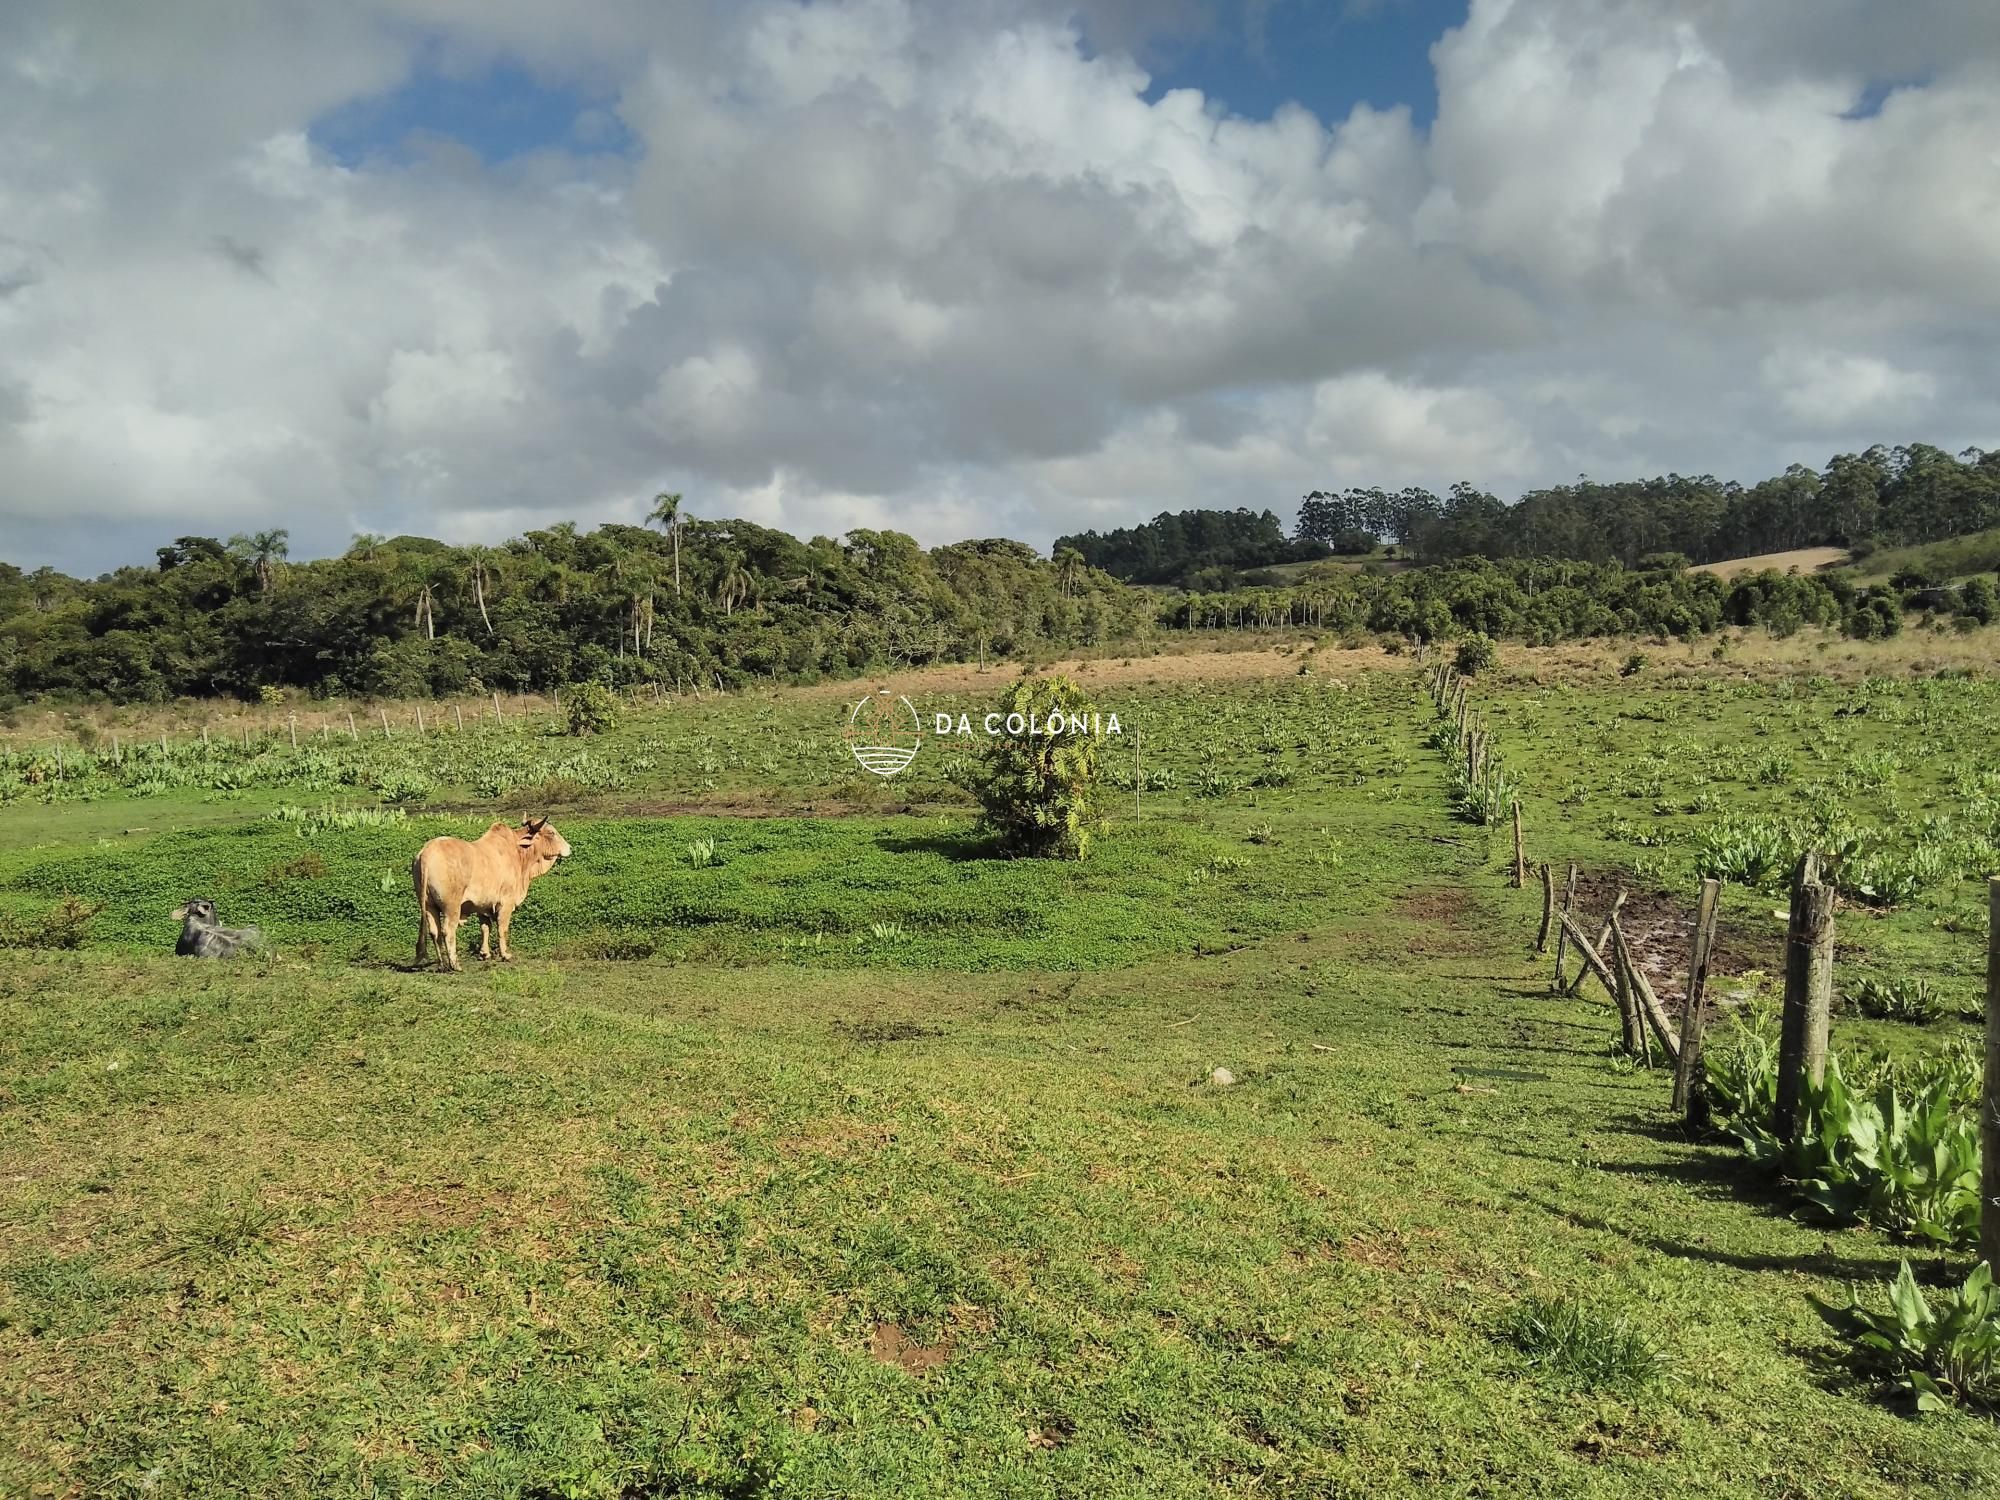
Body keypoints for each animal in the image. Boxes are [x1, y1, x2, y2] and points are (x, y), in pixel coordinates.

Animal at [412, 824, 572, 976]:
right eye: (551, 832)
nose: (569, 848)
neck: (518, 851)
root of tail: (427, 852)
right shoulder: (506, 902)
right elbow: (502, 928)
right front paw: (505, 955)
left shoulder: (482, 905)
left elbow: (485, 928)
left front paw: (485, 954)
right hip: (452, 907)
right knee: (448, 931)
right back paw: (455, 965)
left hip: (429, 906)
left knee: (435, 932)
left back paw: (441, 965)